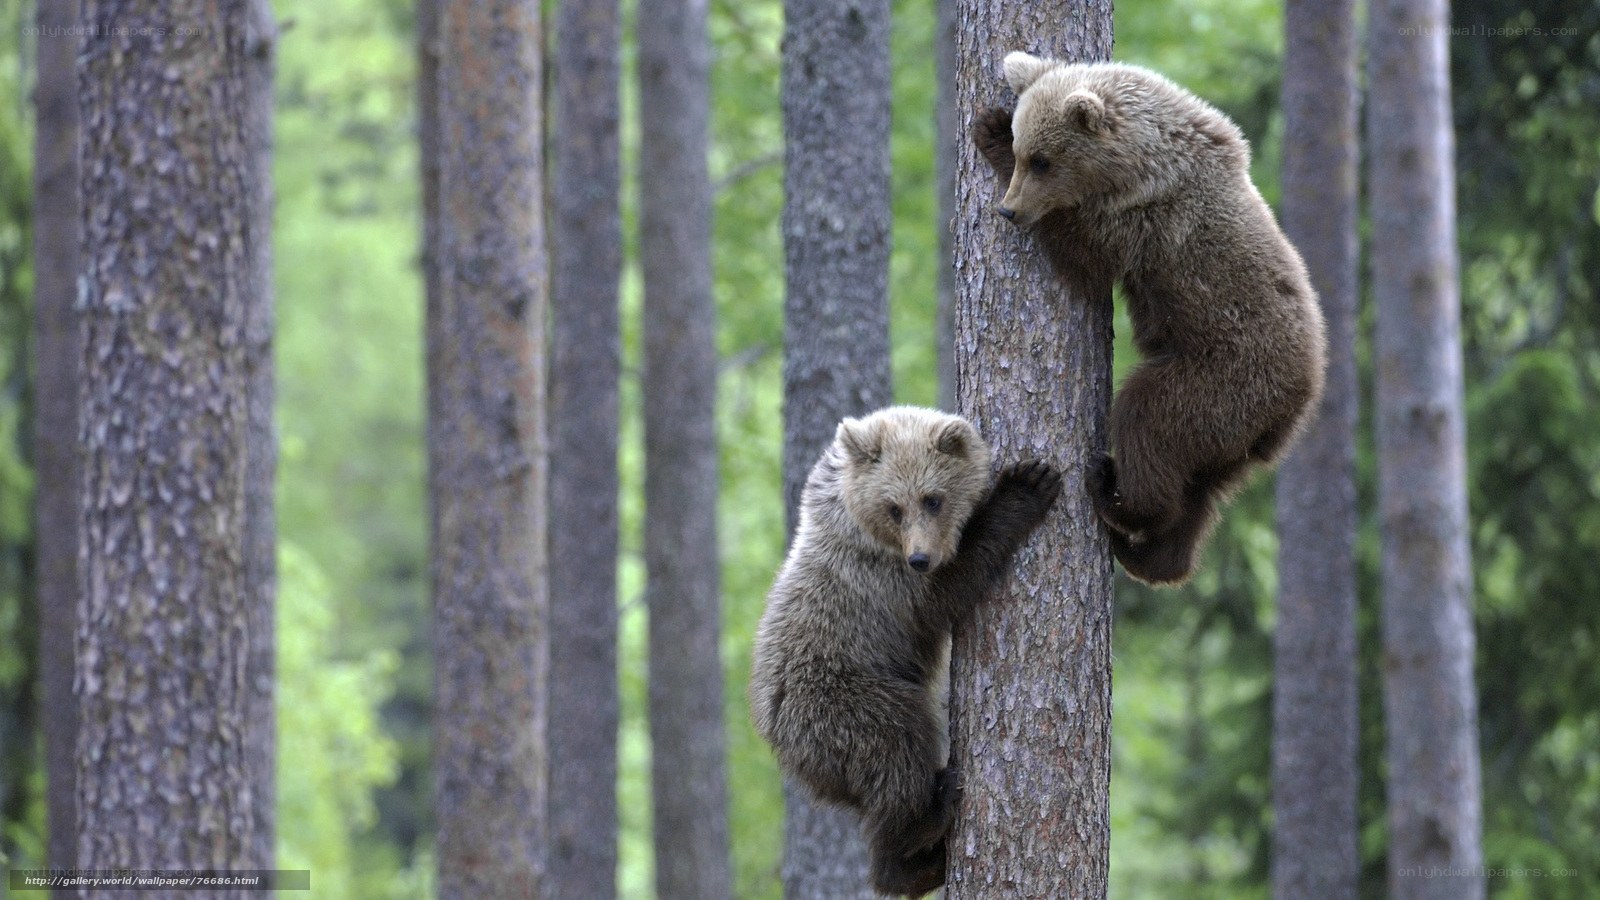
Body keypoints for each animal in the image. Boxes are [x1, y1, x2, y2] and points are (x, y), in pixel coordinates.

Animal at [748, 406, 1061, 897]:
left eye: (932, 498)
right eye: (894, 507)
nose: (920, 558)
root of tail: (775, 733)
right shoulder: (885, 583)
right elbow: (951, 587)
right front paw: (1026, 484)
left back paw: (924, 862)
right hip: (842, 701)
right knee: (898, 743)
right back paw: (924, 824)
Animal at [971, 52, 1327, 587]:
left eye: (1041, 160)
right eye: (1025, 150)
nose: (1009, 210)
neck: (1141, 163)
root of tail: (1298, 402)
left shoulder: (1145, 223)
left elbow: (1085, 261)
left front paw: (988, 130)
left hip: (1221, 380)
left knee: (1148, 421)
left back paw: (1113, 494)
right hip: (1231, 437)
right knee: (1200, 492)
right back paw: (1151, 555)